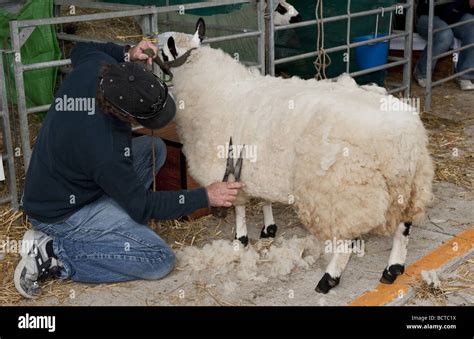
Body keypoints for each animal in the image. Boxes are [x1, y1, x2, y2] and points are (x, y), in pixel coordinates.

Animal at [158, 19, 434, 294]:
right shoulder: (258, 167)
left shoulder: (229, 168)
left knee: (344, 242)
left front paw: (240, 239)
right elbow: (264, 199)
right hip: (410, 189)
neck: (211, 85)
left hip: (339, 193)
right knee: (404, 227)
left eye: (163, 51)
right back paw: (393, 269)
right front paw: (268, 228)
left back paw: (329, 279)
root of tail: (404, 139)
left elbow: (239, 207)